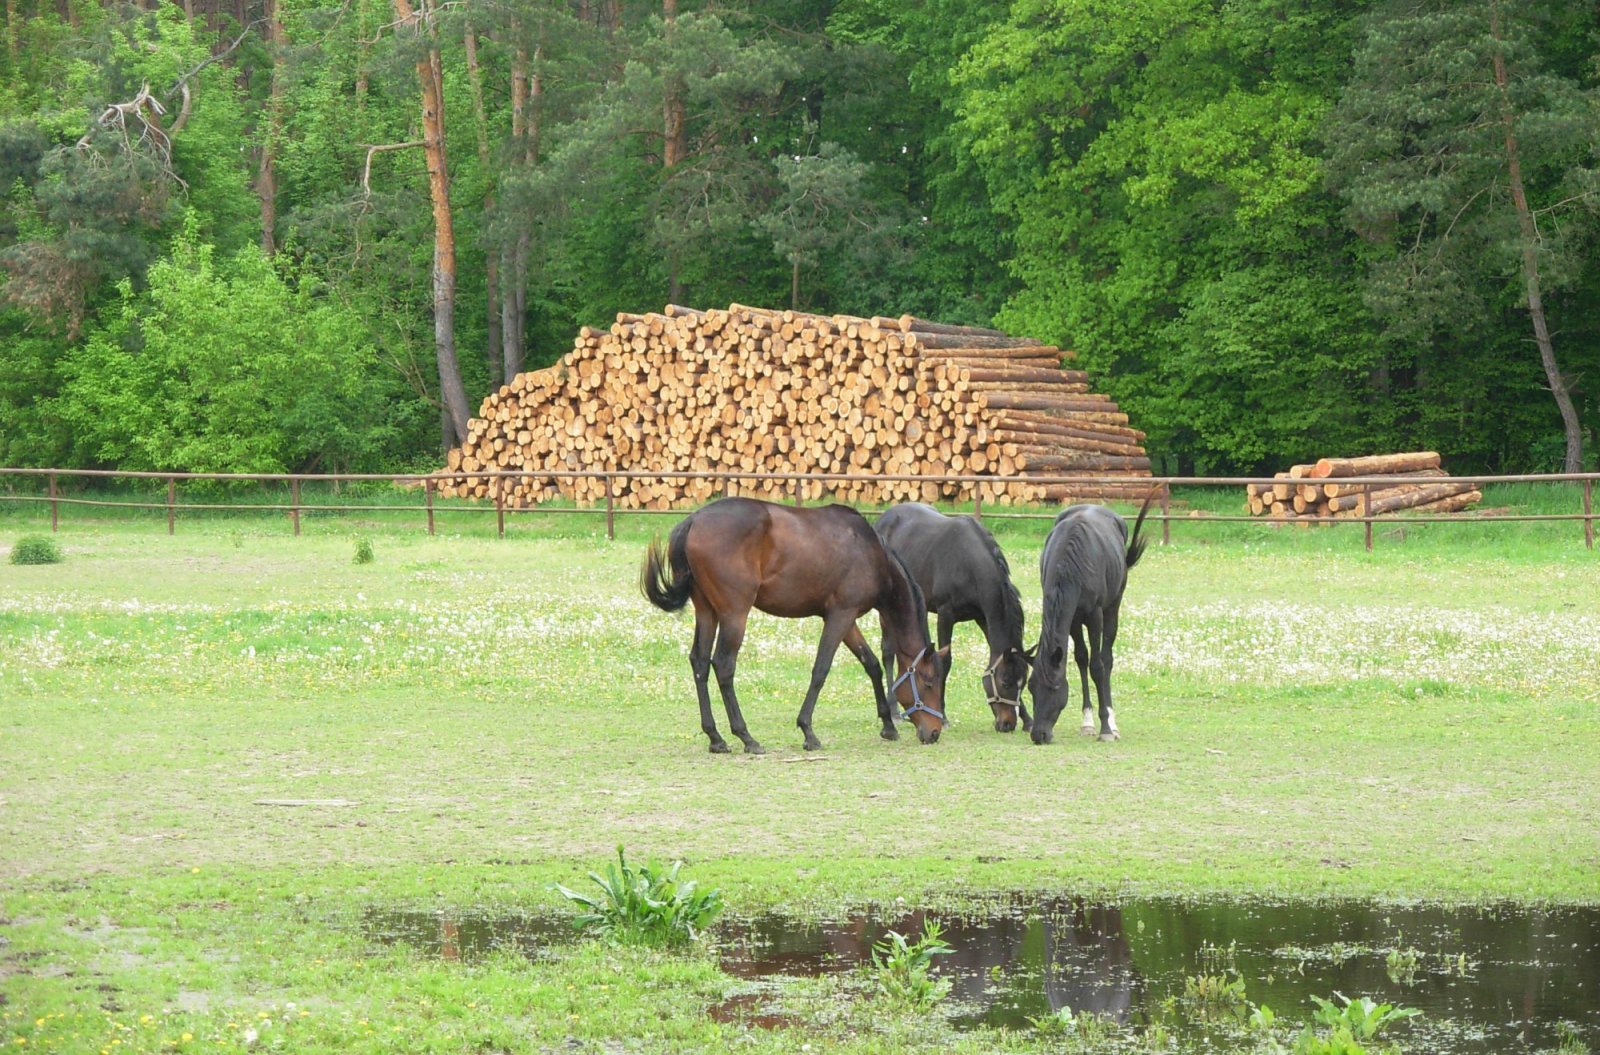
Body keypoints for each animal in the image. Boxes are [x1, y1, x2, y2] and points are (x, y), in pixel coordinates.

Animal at [640, 496, 947, 752]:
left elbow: (870, 664)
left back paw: (716, 737)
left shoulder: (845, 620)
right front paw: (808, 731)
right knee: (724, 665)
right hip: (734, 614)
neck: (870, 552)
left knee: (700, 663)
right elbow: (821, 670)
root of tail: (693, 521)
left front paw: (888, 725)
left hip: (707, 612)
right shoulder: (841, 615)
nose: (934, 732)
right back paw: (746, 736)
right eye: (929, 682)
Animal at [870, 502, 1030, 733]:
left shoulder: (983, 618)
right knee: (888, 652)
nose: (1007, 724)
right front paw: (943, 716)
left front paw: (1028, 719)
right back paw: (894, 711)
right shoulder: (946, 615)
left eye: (1023, 683)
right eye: (1005, 682)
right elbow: (945, 662)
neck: (969, 563)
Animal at [1030, 499, 1158, 746]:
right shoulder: (1072, 619)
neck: (1070, 566)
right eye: (1030, 687)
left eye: (1055, 687)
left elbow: (1097, 667)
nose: (1039, 735)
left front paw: (1106, 728)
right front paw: (1088, 723)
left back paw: (1112, 722)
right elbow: (1081, 658)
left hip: (1112, 607)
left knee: (1107, 659)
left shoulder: (1094, 616)